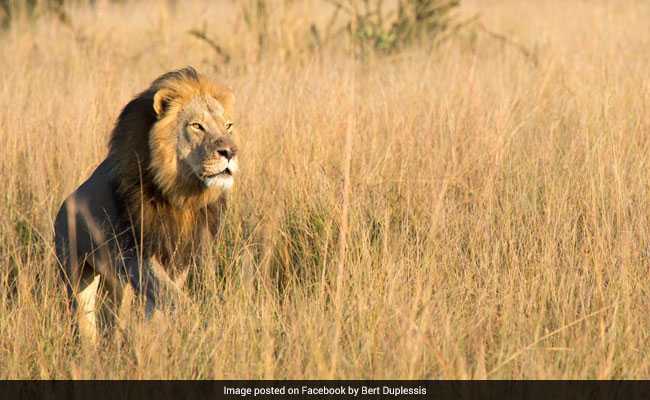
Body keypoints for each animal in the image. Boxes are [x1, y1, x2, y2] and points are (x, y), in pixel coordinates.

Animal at [53, 66, 238, 340]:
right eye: (197, 126)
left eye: (228, 126)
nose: (230, 152)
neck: (181, 193)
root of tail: (62, 207)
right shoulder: (135, 252)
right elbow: (170, 294)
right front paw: (199, 322)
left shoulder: (181, 253)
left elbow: (161, 299)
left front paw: (155, 336)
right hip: (76, 270)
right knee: (85, 315)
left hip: (116, 282)